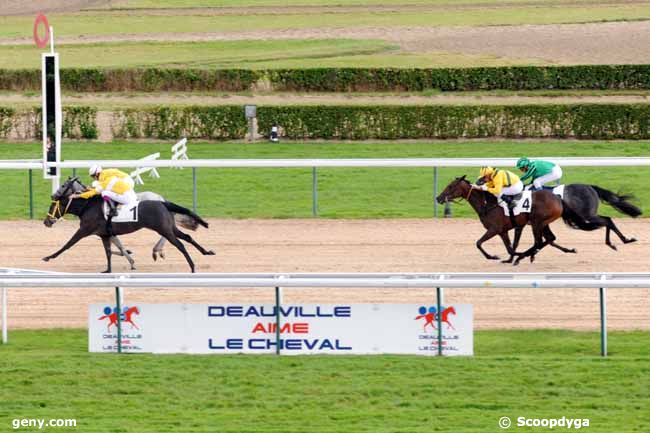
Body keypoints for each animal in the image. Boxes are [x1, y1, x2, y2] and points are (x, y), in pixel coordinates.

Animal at [41, 176, 214, 272]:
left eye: (52, 205)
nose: (46, 221)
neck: (88, 206)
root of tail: (162, 201)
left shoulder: (84, 230)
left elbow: (68, 244)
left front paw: (49, 257)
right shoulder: (105, 233)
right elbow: (112, 250)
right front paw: (114, 267)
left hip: (163, 228)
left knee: (179, 244)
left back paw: (189, 264)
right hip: (170, 226)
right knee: (187, 237)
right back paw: (206, 252)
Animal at [432, 175, 596, 264]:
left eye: (451, 186)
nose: (438, 198)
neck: (488, 204)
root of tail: (558, 198)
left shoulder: (494, 229)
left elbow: (478, 243)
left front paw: (494, 256)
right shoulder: (503, 231)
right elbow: (509, 247)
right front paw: (508, 257)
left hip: (537, 223)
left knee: (540, 241)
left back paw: (525, 256)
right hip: (543, 223)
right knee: (549, 239)